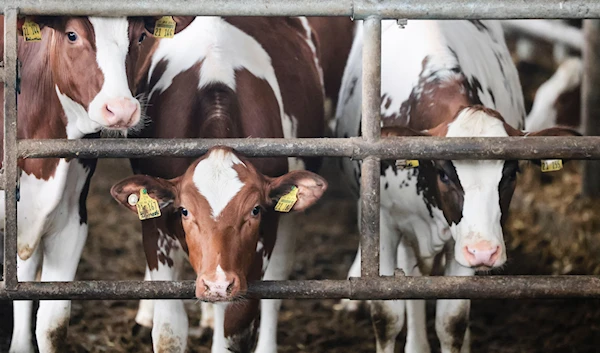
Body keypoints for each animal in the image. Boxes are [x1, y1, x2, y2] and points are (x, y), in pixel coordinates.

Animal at [107, 15, 344, 352]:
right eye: (184, 211)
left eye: (255, 210)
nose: (217, 284)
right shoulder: (156, 230)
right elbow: (168, 331)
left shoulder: (259, 246)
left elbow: (236, 325)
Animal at [336, 20, 580, 352]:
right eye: (444, 174)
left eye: (511, 173)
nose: (484, 252)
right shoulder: (384, 221)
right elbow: (386, 316)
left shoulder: (460, 240)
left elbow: (452, 321)